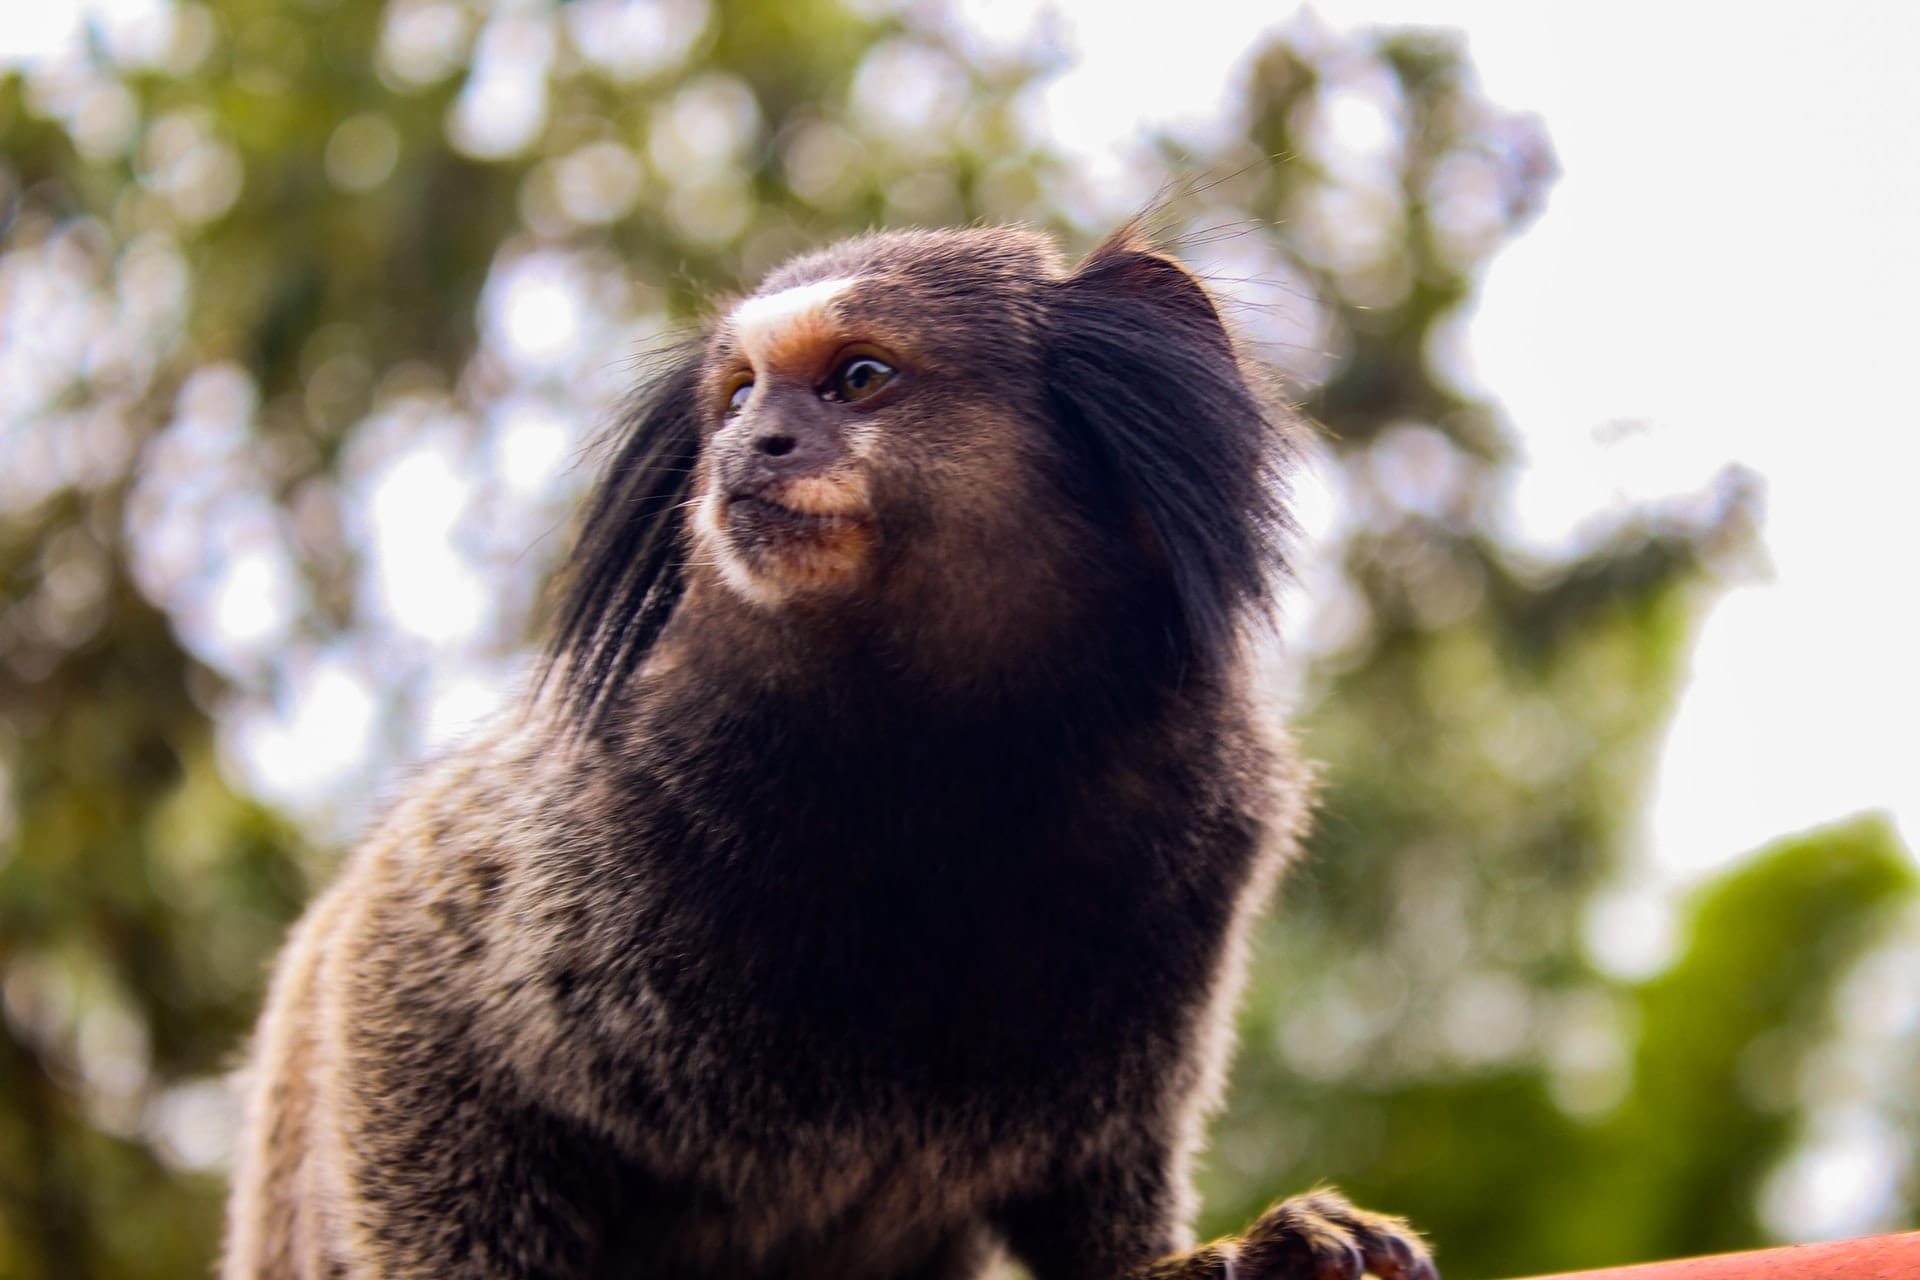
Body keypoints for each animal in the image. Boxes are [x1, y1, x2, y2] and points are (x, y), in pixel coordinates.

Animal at [220, 224, 1437, 1280]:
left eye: (857, 377)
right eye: (739, 395)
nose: (746, 448)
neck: (950, 751)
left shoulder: (1201, 838)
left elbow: (1099, 1175)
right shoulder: (577, 818)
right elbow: (409, 989)